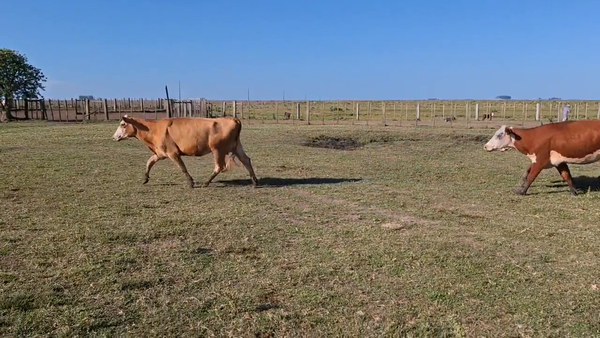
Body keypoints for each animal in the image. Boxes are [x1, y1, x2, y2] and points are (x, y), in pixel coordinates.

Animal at [112, 115, 258, 189]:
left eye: (123, 124)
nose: (114, 137)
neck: (154, 129)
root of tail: (233, 119)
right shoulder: (159, 153)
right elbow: (149, 163)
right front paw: (145, 178)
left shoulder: (173, 153)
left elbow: (182, 167)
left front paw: (191, 182)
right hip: (236, 147)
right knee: (246, 160)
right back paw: (255, 181)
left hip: (217, 149)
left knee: (219, 166)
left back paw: (206, 182)